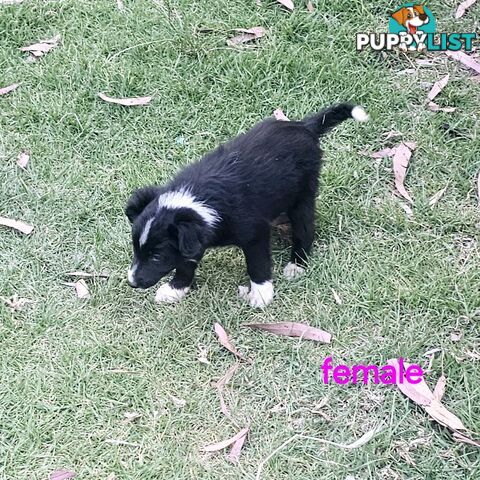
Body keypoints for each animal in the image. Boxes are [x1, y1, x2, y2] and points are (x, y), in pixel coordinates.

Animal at [125, 103, 370, 310]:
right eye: (135, 249)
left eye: (157, 256)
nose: (132, 283)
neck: (199, 199)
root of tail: (304, 126)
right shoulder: (194, 239)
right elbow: (185, 262)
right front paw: (176, 289)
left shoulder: (254, 234)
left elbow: (257, 264)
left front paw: (261, 294)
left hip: (303, 196)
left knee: (305, 228)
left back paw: (297, 264)